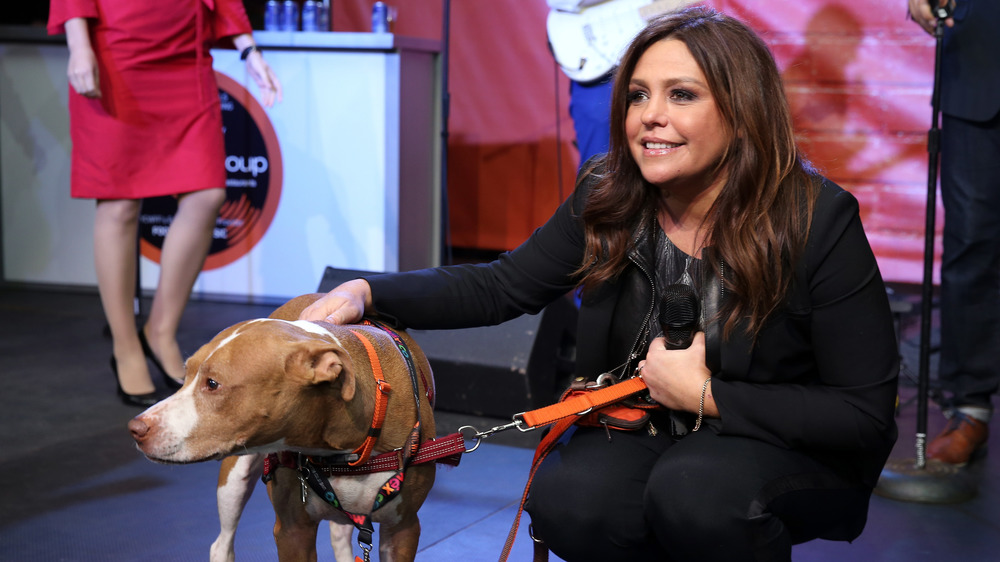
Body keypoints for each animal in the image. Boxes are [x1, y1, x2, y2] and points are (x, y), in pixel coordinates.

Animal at [128, 294, 438, 560]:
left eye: (212, 384)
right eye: (185, 375)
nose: (136, 428)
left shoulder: (403, 530)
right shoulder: (292, 532)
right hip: (233, 482)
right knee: (222, 544)